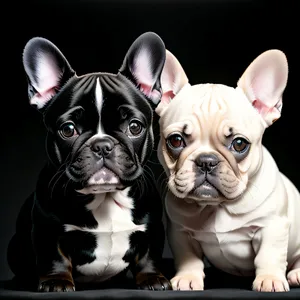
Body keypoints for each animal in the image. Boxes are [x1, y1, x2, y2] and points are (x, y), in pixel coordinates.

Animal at [7, 32, 171, 290]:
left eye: (134, 127)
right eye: (68, 129)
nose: (102, 145)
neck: (105, 197)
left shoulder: (152, 227)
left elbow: (149, 255)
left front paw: (153, 278)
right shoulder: (47, 228)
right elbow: (53, 257)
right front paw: (56, 281)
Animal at [156, 48, 300, 290]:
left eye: (240, 144)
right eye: (175, 140)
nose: (206, 161)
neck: (217, 206)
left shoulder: (272, 227)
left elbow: (269, 256)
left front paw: (269, 279)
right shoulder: (180, 232)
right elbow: (189, 257)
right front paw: (188, 278)